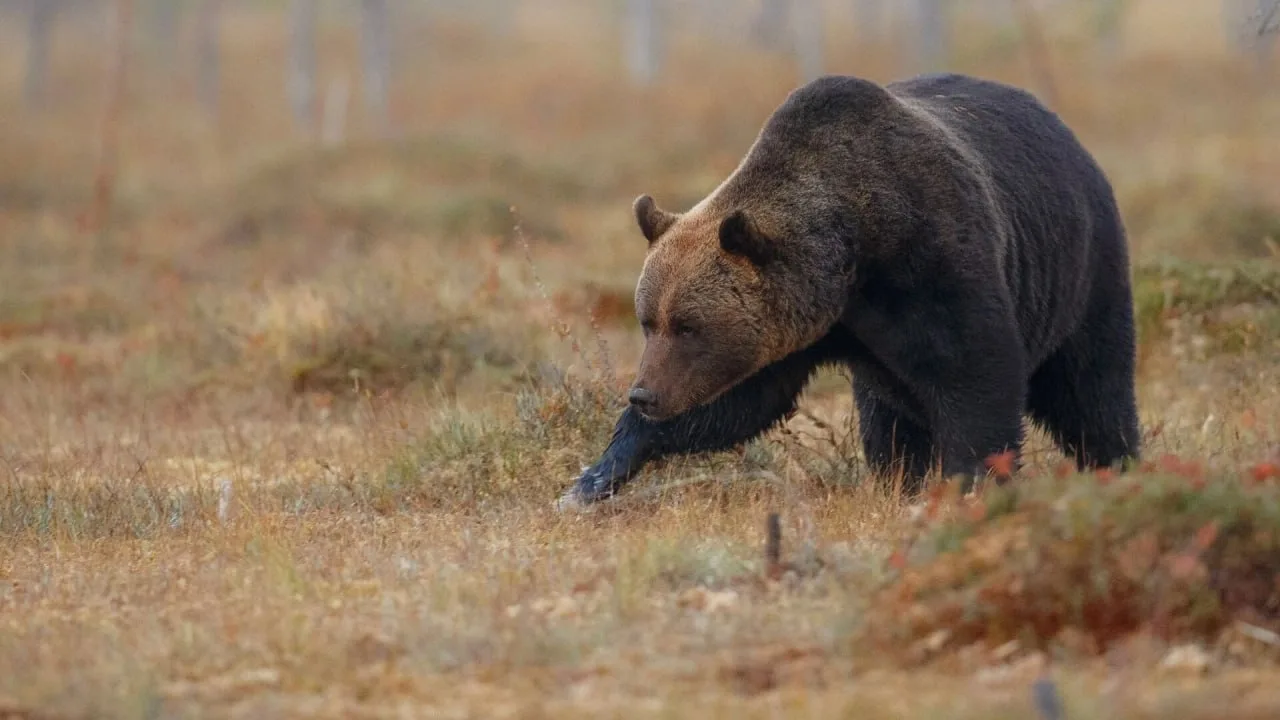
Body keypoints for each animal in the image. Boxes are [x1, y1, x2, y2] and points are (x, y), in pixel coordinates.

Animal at [557, 72, 1142, 509]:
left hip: (1082, 269)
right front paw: (592, 478)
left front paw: (971, 483)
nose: (643, 394)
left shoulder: (934, 263)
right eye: (647, 320)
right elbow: (736, 404)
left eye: (688, 325)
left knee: (1092, 388)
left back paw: (1116, 463)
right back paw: (897, 478)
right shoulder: (802, 330)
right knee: (887, 417)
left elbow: (977, 376)